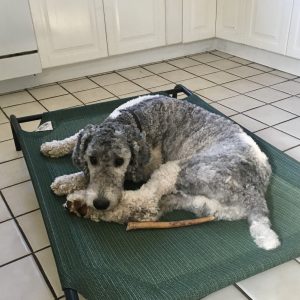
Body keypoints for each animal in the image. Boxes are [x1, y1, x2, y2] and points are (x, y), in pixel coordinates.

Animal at [41, 95, 280, 250]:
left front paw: (66, 181)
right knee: (149, 209)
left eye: (120, 161)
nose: (100, 202)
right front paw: (52, 147)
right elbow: (78, 135)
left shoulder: (144, 167)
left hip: (175, 169)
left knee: (144, 200)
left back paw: (82, 203)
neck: (130, 117)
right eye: (92, 159)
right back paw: (86, 208)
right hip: (197, 202)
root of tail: (256, 190)